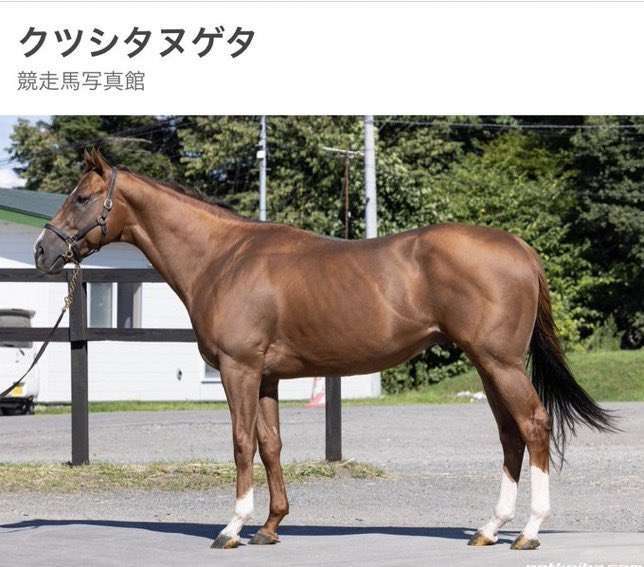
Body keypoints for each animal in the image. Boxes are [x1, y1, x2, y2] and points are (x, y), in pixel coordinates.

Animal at [34, 148, 615, 550]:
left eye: (81, 198)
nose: (43, 251)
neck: (224, 256)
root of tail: (519, 247)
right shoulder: (266, 377)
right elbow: (271, 445)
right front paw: (271, 526)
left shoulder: (238, 370)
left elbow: (241, 443)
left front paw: (232, 527)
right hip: (489, 364)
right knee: (510, 435)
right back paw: (489, 528)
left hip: (499, 362)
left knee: (533, 426)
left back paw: (528, 532)